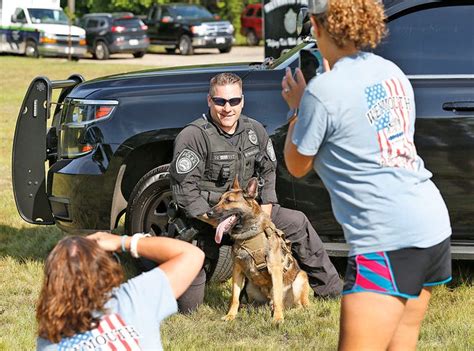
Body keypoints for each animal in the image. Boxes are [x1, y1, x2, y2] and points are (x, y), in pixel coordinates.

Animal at [207, 177, 312, 324]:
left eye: (229, 201)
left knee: (297, 306)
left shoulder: (275, 270)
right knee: (259, 304)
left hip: (300, 278)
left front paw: (278, 318)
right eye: (220, 200)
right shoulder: (237, 270)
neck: (248, 235)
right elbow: (235, 297)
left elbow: (278, 299)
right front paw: (231, 315)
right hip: (250, 287)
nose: (208, 213)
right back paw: (252, 308)